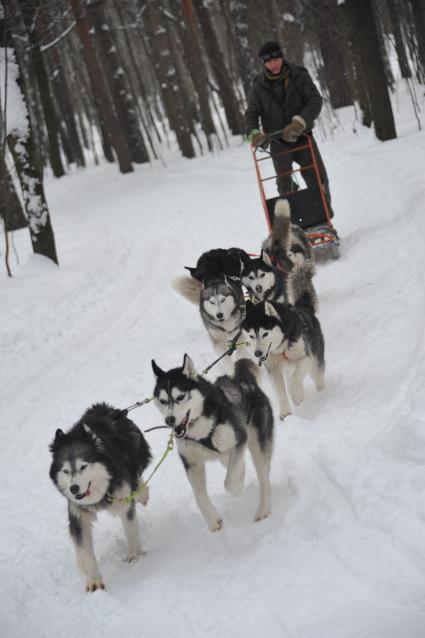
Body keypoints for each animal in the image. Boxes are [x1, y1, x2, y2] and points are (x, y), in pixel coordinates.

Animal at [49, 404, 152, 596]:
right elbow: (85, 551)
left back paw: (142, 493)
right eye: (66, 471)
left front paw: (135, 556)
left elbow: (130, 530)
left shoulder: (123, 501)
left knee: (137, 479)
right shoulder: (78, 517)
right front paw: (94, 581)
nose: (74, 489)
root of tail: (105, 409)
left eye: (83, 466)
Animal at [151, 358, 274, 532]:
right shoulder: (191, 462)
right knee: (240, 465)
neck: (199, 429)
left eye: (180, 397)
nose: (170, 420)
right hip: (224, 455)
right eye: (162, 401)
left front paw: (236, 488)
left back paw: (263, 509)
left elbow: (228, 482)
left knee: (264, 480)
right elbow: (199, 496)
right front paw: (213, 520)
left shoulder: (240, 438)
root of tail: (242, 380)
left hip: (257, 445)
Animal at [240, 260, 322, 420]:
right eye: (251, 336)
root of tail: (302, 307)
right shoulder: (273, 370)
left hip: (315, 364)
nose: (258, 354)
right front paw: (285, 413)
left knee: (316, 377)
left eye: (265, 334)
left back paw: (321, 393)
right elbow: (280, 393)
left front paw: (297, 395)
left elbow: (296, 378)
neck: (281, 348)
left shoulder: (305, 358)